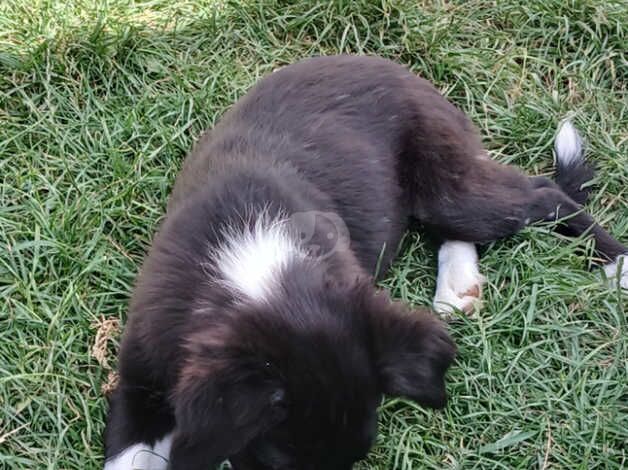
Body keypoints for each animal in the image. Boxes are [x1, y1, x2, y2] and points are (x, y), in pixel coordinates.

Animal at [105, 54, 624, 470]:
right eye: (275, 464)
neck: (259, 274)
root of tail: (397, 68)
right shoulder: (141, 369)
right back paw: (458, 287)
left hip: (450, 188)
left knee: (542, 195)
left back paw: (615, 266)